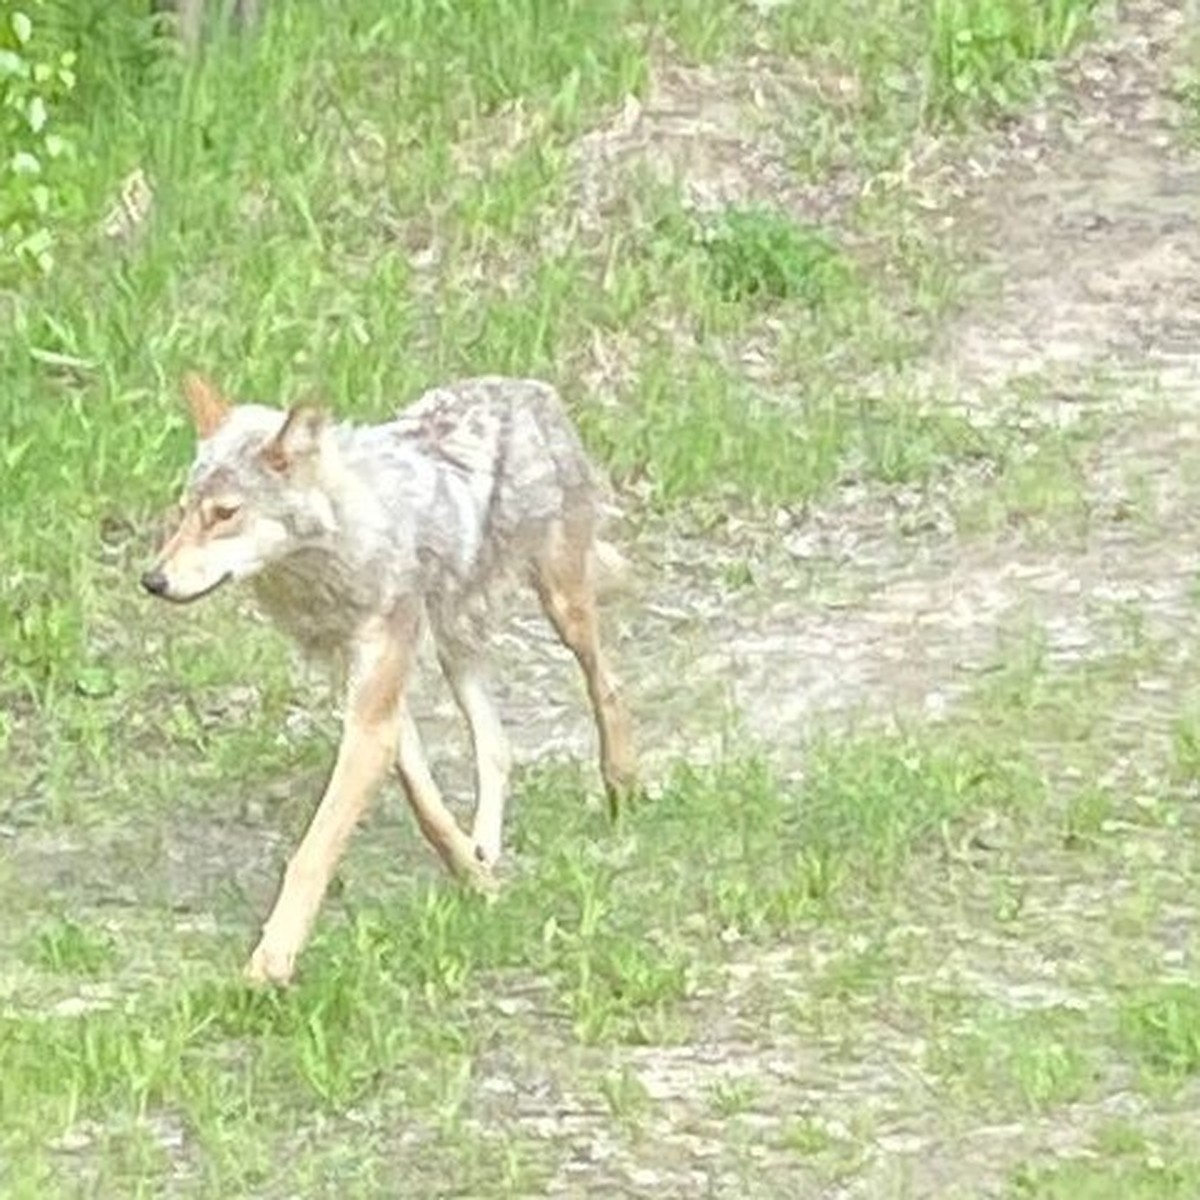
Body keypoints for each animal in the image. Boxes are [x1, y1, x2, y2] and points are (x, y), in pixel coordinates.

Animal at [142, 372, 638, 984]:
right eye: (185, 511)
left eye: (224, 513)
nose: (152, 580)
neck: (338, 558)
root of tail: (526, 386)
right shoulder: (371, 699)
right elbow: (427, 807)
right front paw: (475, 877)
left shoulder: (372, 715)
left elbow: (314, 850)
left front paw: (271, 962)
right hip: (456, 646)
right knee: (496, 745)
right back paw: (487, 846)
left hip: (562, 608)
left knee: (606, 680)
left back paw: (623, 782)